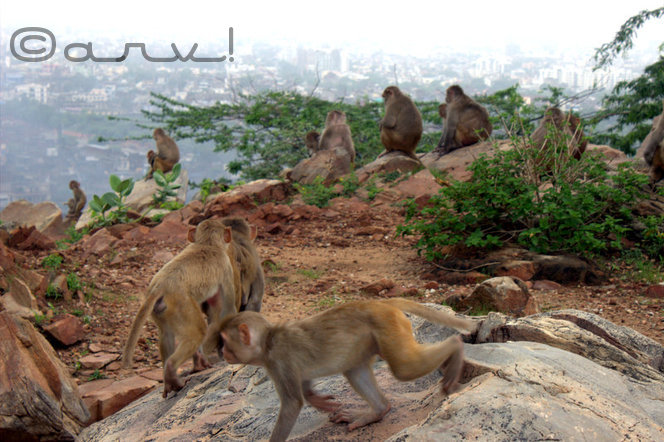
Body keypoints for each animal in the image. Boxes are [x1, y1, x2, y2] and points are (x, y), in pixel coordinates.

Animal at [122, 218, 237, 397]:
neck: (207, 243)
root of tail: (160, 286)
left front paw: (200, 361)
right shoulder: (226, 268)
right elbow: (227, 310)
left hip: (160, 310)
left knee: (166, 333)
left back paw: (169, 380)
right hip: (181, 304)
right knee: (197, 332)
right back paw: (172, 370)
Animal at [219, 298, 476, 442]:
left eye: (225, 341)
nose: (222, 353)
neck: (268, 342)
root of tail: (380, 303)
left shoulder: (279, 362)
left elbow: (292, 404)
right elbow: (305, 383)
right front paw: (318, 400)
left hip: (388, 326)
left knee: (405, 368)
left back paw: (456, 347)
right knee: (355, 370)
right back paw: (377, 411)